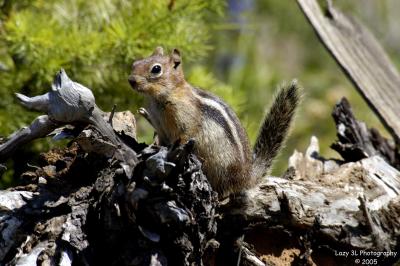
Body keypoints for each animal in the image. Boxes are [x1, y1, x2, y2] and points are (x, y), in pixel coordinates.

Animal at [129, 46, 300, 198]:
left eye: (156, 69)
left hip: (221, 167)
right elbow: (161, 138)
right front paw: (155, 145)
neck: (161, 98)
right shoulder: (160, 126)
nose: (131, 80)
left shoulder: (186, 121)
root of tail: (247, 177)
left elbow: (185, 135)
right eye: (135, 63)